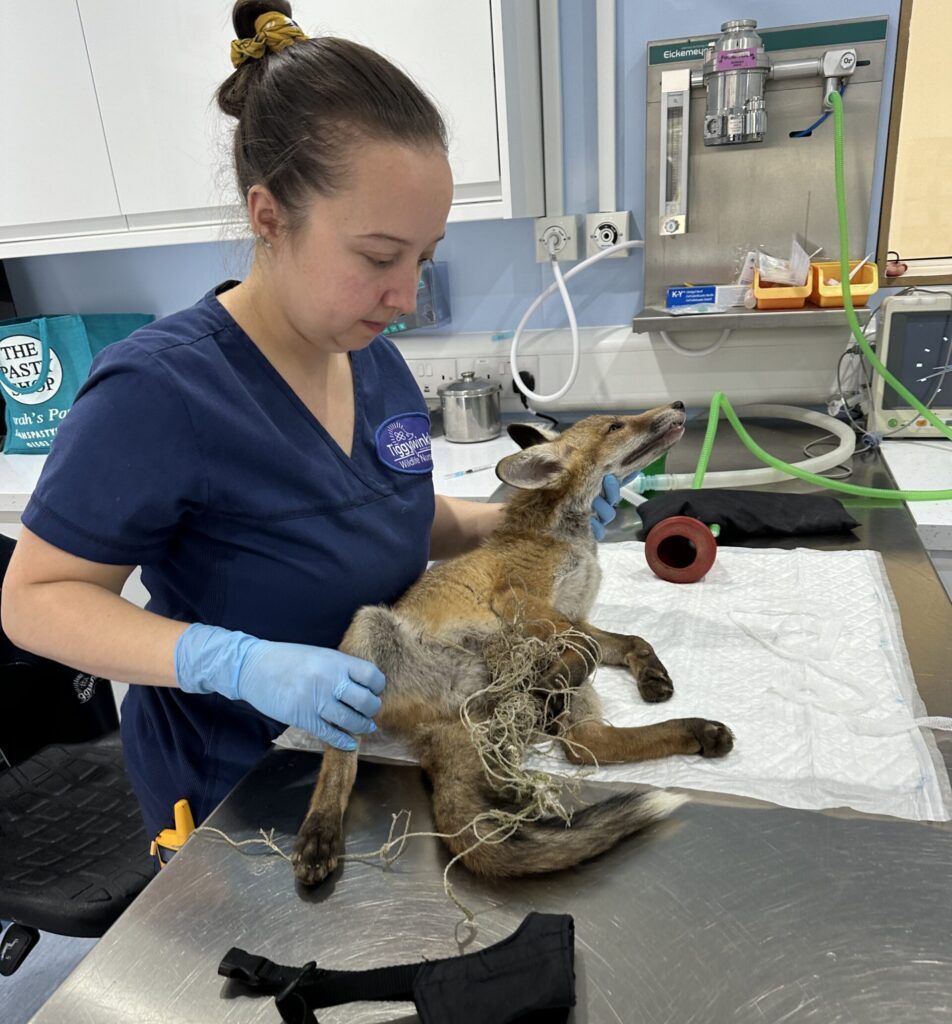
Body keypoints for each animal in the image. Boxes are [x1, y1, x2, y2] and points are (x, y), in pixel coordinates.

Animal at [291, 401, 733, 886]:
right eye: (616, 425)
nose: (678, 406)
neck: (566, 537)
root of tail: (444, 720)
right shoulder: (520, 599)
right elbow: (590, 647)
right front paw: (566, 673)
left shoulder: (573, 613)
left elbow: (629, 640)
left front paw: (651, 675)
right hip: (368, 635)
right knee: (341, 755)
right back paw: (321, 828)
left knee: (586, 745)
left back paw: (687, 729)